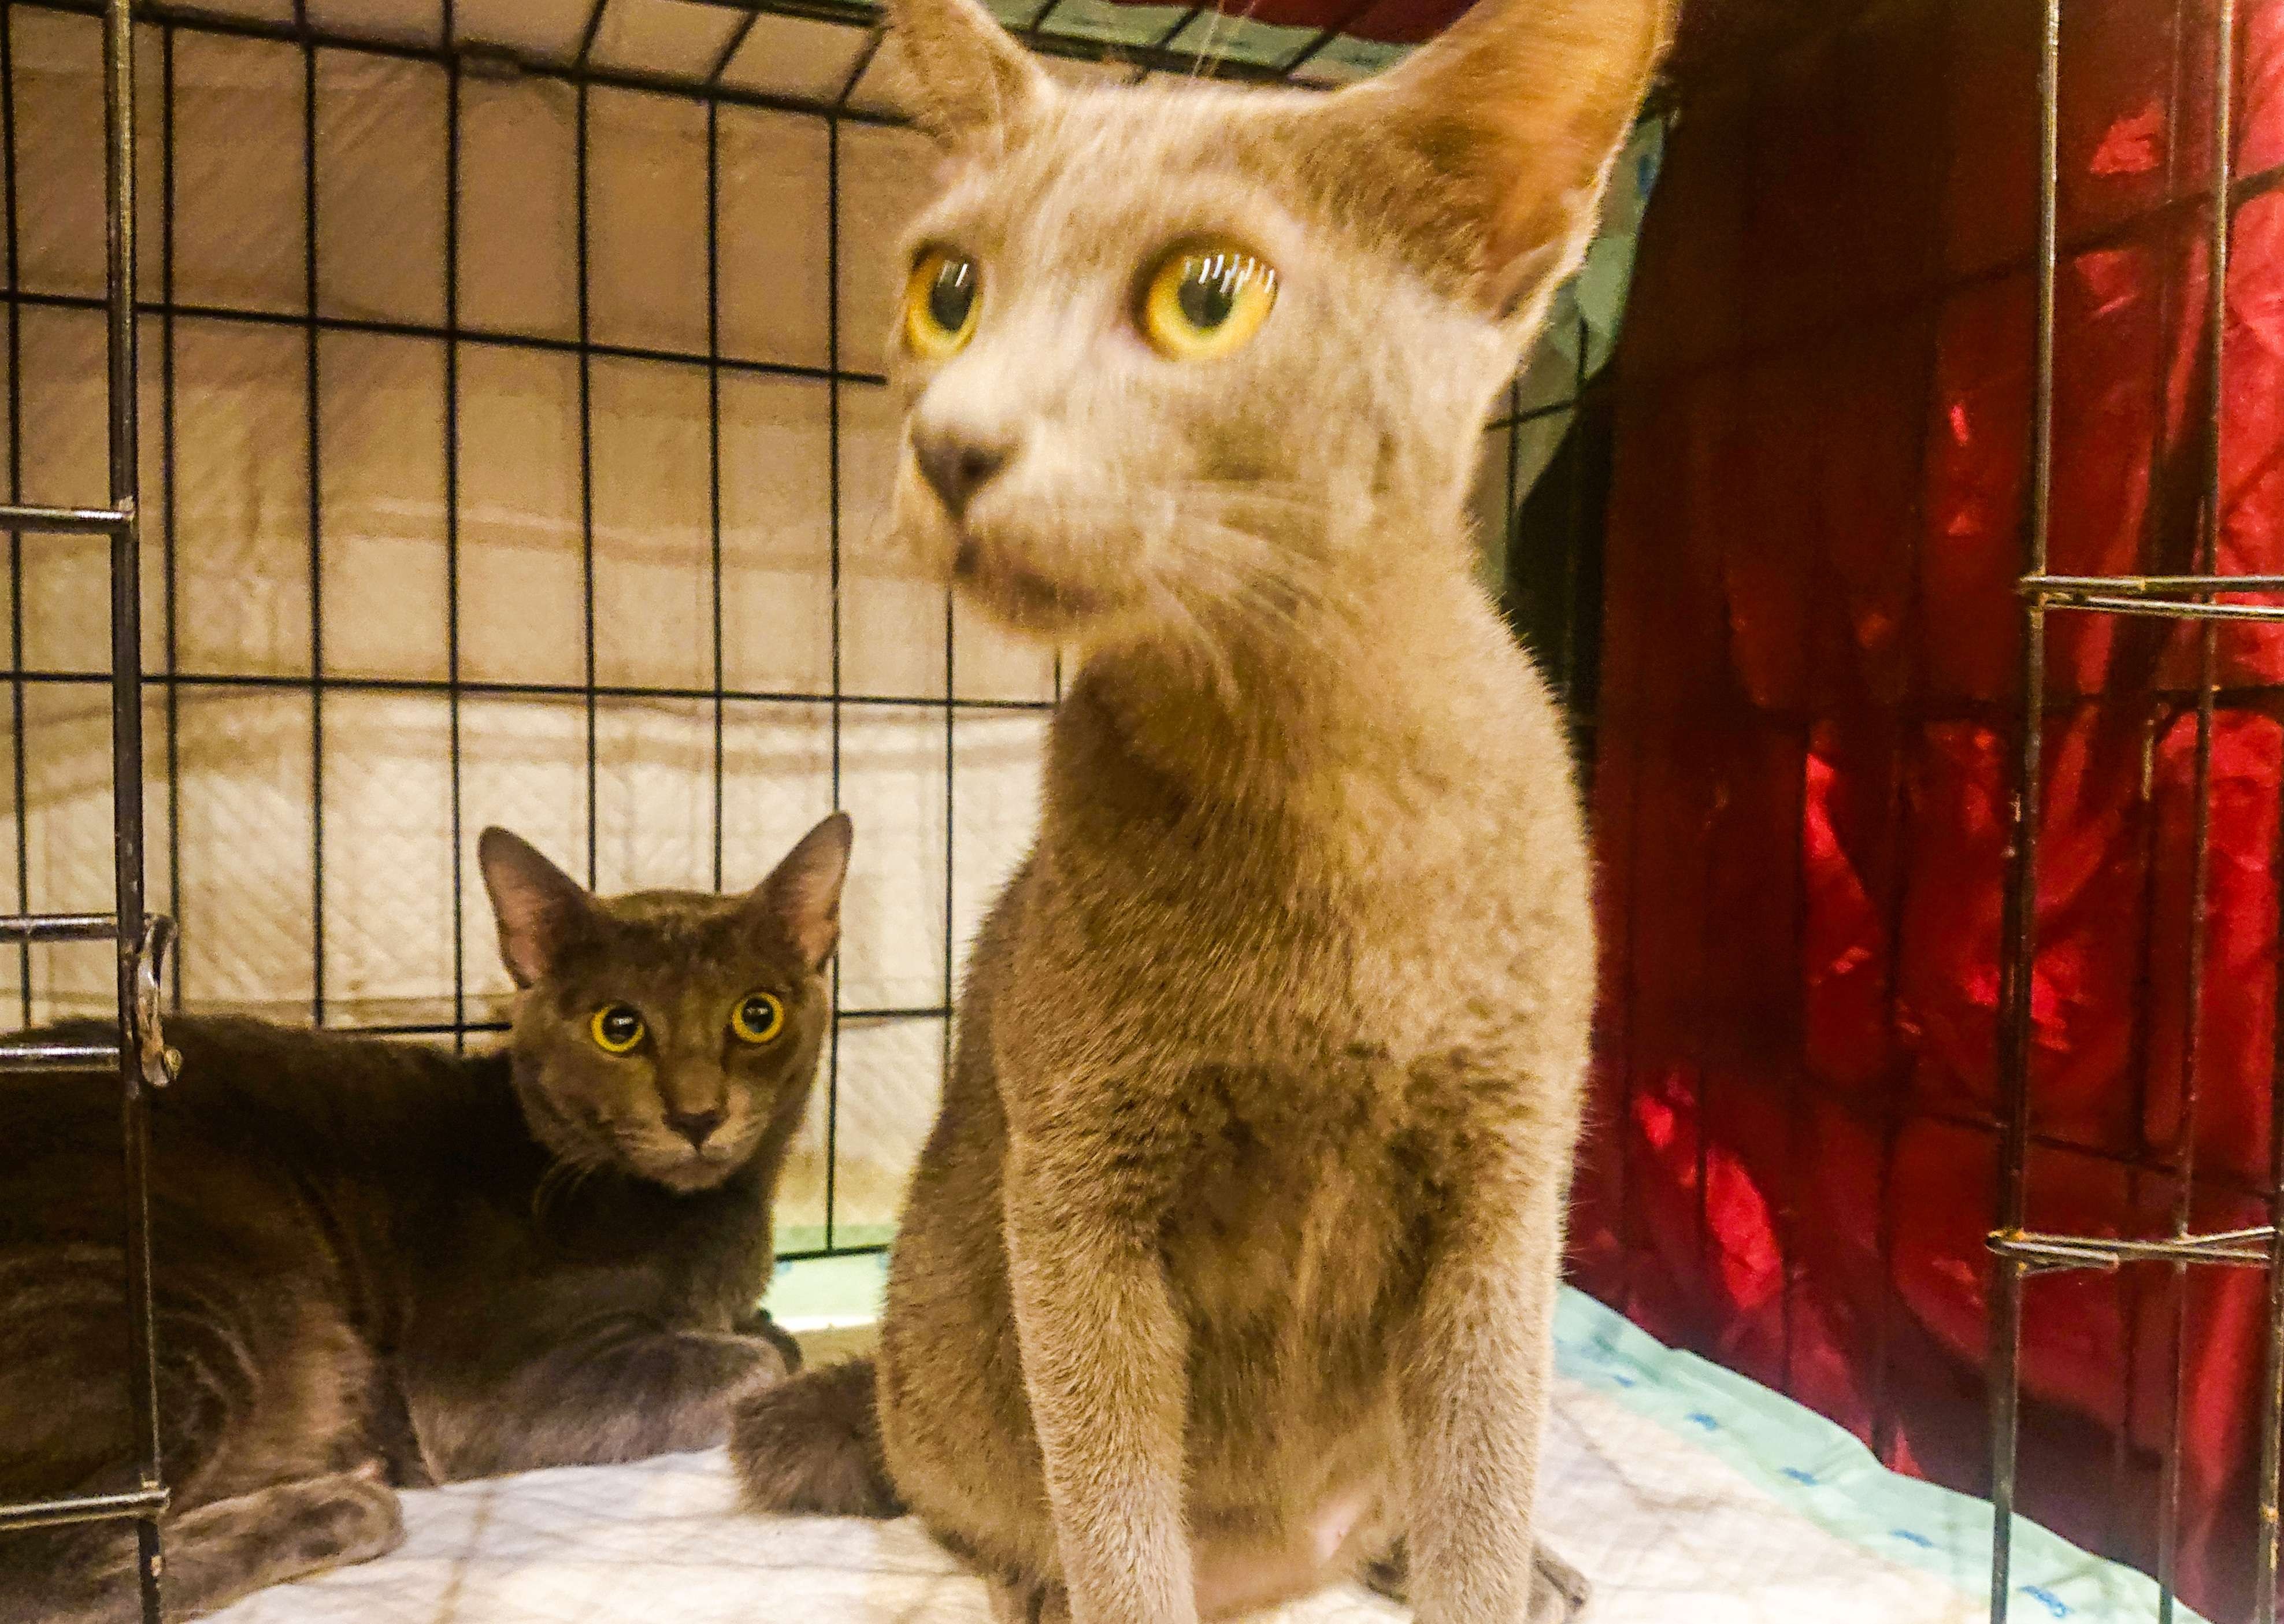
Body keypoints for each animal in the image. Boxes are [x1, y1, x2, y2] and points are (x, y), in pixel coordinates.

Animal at [0, 813, 854, 1624]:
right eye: (620, 1027)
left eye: (757, 1015)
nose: (698, 1114)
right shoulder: (488, 1383)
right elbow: (763, 1358)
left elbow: (766, 1334)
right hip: (163, 1305)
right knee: (58, 1568)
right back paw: (344, 1501)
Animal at [740, 0, 1671, 1617]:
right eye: (946, 292)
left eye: (1207, 296)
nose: (953, 441)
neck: (1314, 774)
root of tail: (1276, 1561)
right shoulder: (1076, 1190)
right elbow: (1114, 1500)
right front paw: (1108, 1574)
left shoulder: (1507, 1177)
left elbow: (1483, 1477)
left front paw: (1489, 1565)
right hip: (946, 1371)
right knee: (1005, 1511)